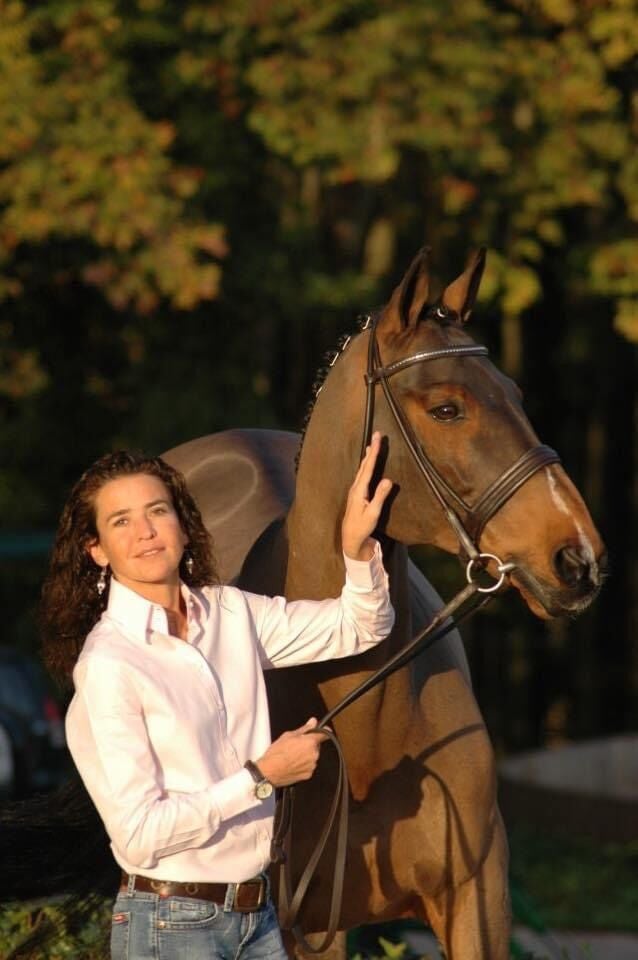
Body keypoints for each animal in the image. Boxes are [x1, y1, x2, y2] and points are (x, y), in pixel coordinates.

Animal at [164, 249, 604, 960]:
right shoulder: (299, 925)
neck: (363, 717)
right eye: (447, 408)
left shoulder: (476, 903)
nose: (578, 557)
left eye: (514, 394)